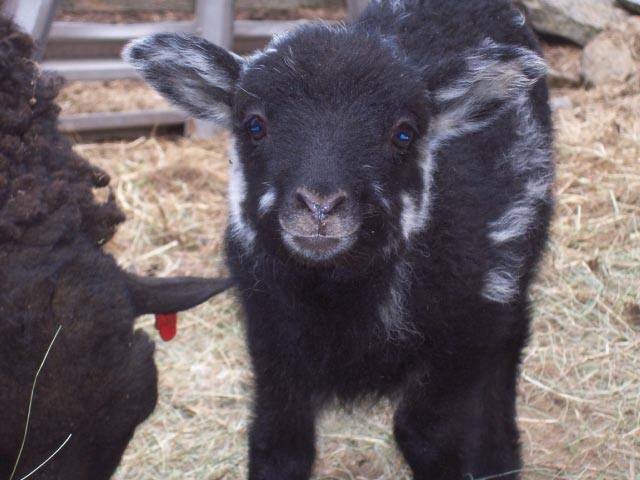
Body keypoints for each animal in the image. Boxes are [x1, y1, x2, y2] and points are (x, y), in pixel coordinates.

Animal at [125, 1, 556, 478]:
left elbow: (426, 434)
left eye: (404, 133)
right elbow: (279, 444)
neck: (338, 294)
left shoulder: (468, 331)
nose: (319, 206)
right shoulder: (270, 336)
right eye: (254, 126)